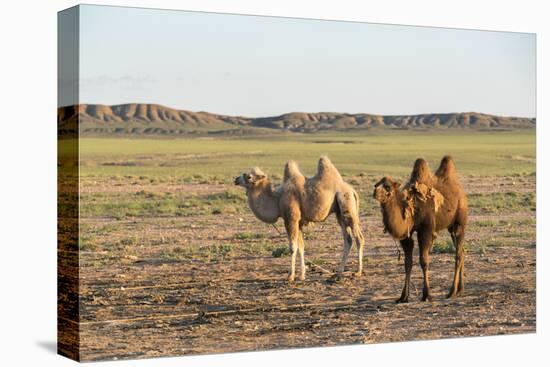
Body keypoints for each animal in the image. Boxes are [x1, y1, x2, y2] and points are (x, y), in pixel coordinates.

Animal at [234, 157, 366, 284]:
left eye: (249, 176)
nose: (236, 179)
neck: (277, 199)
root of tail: (352, 190)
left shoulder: (291, 219)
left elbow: (293, 248)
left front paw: (290, 276)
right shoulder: (299, 223)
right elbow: (301, 247)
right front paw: (302, 275)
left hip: (347, 205)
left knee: (359, 238)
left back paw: (358, 272)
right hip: (339, 214)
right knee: (348, 240)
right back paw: (338, 273)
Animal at [374, 155, 468, 302]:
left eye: (388, 187)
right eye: (376, 184)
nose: (374, 192)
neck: (411, 206)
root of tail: (461, 191)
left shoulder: (426, 229)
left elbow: (424, 260)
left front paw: (427, 294)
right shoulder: (406, 235)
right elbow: (407, 262)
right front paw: (403, 297)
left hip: (460, 221)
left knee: (458, 254)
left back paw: (452, 292)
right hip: (451, 227)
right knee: (462, 251)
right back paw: (460, 290)